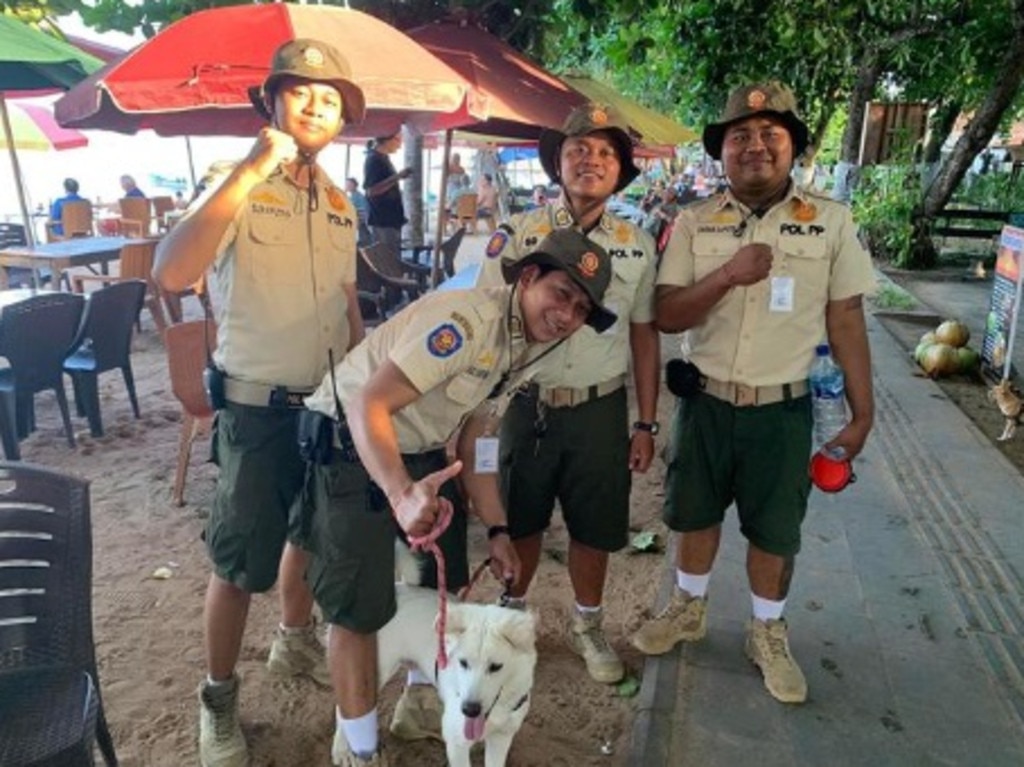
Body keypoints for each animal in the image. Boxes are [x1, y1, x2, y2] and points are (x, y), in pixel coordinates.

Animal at [333, 581, 544, 761]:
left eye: (495, 666)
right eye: (463, 662)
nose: (469, 710)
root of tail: (397, 586)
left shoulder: (502, 738)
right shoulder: (457, 744)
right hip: (375, 672)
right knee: (343, 707)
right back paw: (341, 750)